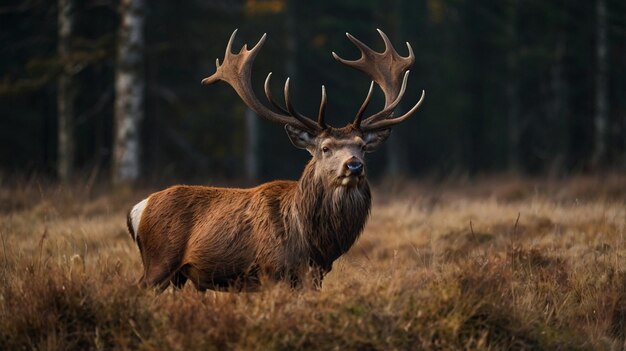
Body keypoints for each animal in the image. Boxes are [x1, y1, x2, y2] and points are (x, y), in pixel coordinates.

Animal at [128, 29, 424, 292]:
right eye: (325, 148)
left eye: (362, 147)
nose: (354, 165)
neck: (313, 242)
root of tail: (137, 209)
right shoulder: (272, 271)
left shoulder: (313, 276)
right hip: (158, 261)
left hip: (177, 274)